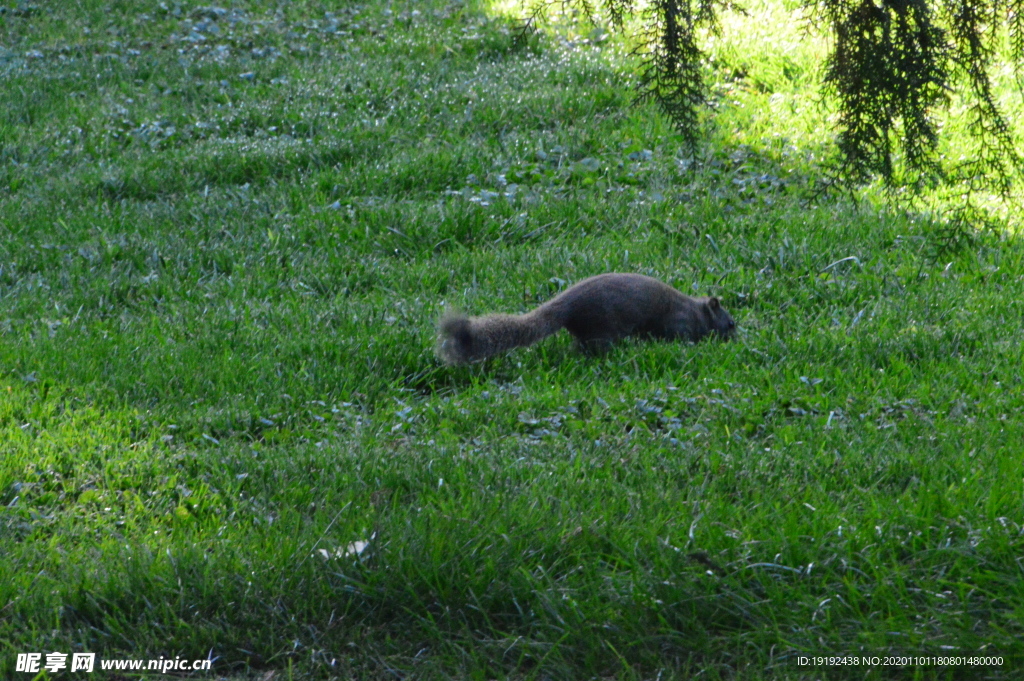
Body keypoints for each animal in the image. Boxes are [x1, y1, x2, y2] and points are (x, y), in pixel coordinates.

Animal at [436, 272, 733, 366]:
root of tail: (568, 306)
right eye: (730, 323)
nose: (735, 336)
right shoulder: (679, 323)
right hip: (603, 328)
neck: (695, 310)